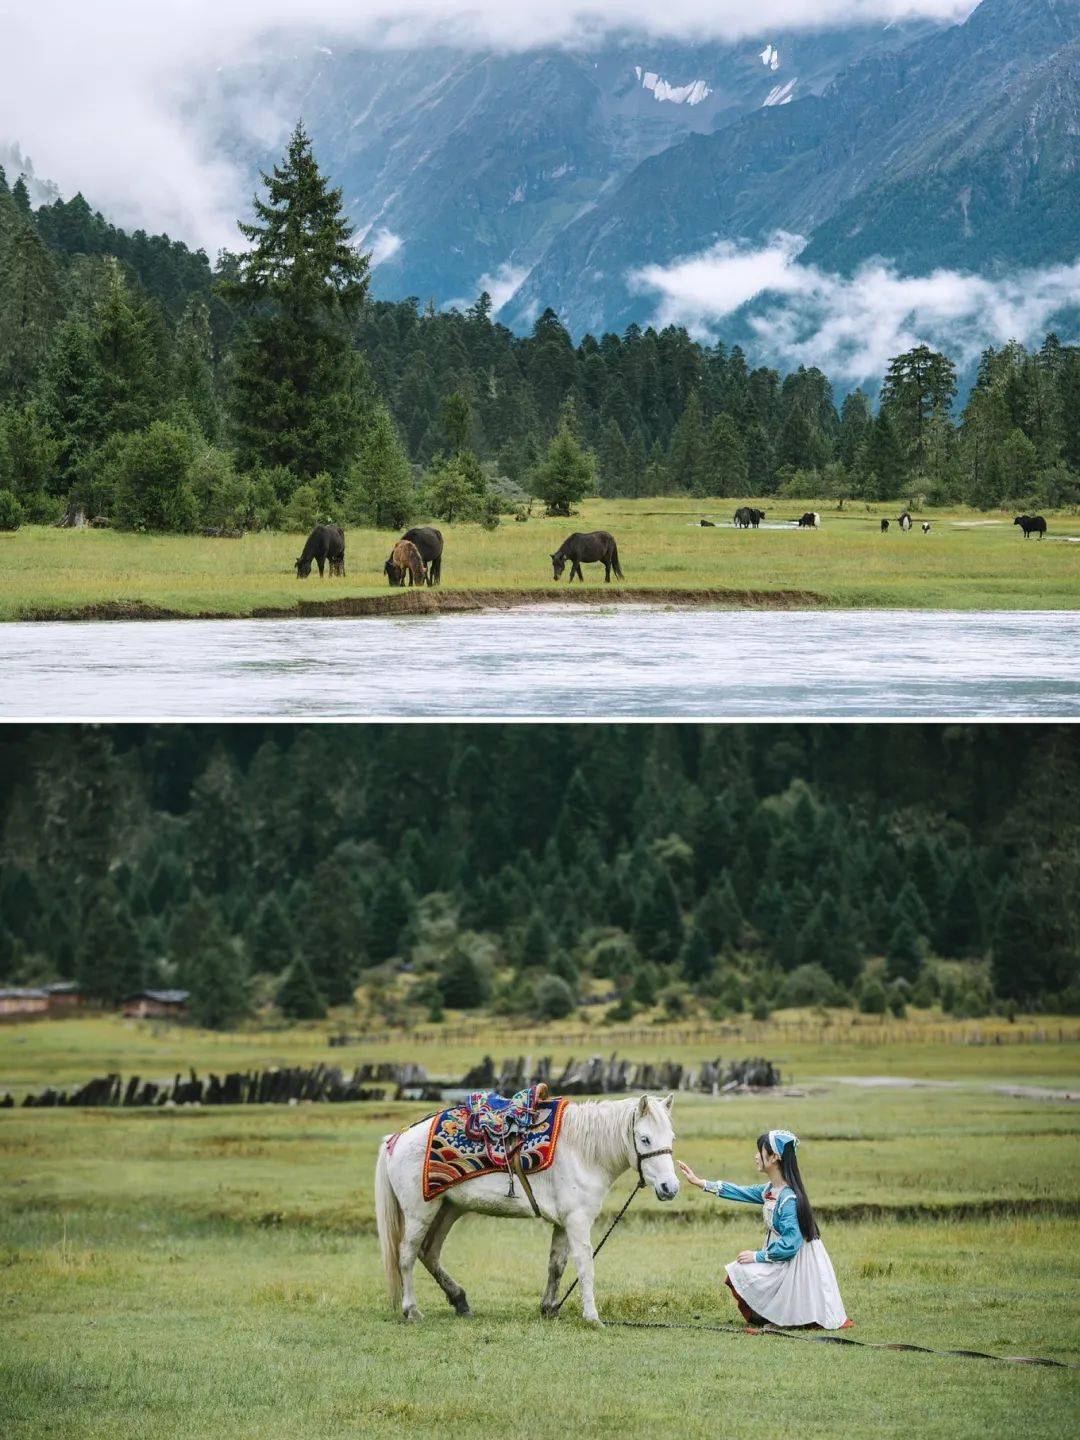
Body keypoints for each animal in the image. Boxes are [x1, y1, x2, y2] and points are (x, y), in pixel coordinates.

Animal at [377, 1088, 679, 1324]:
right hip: (420, 1212)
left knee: (429, 1252)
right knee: (407, 1255)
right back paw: (412, 1310)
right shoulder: (578, 1221)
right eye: (645, 1139)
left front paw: (549, 1309)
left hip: (448, 1209)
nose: (670, 1188)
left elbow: (556, 1266)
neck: (583, 1151)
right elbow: (585, 1265)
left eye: (672, 1138)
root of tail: (395, 1138)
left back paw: (460, 1301)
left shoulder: (563, 1223)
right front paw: (592, 1317)